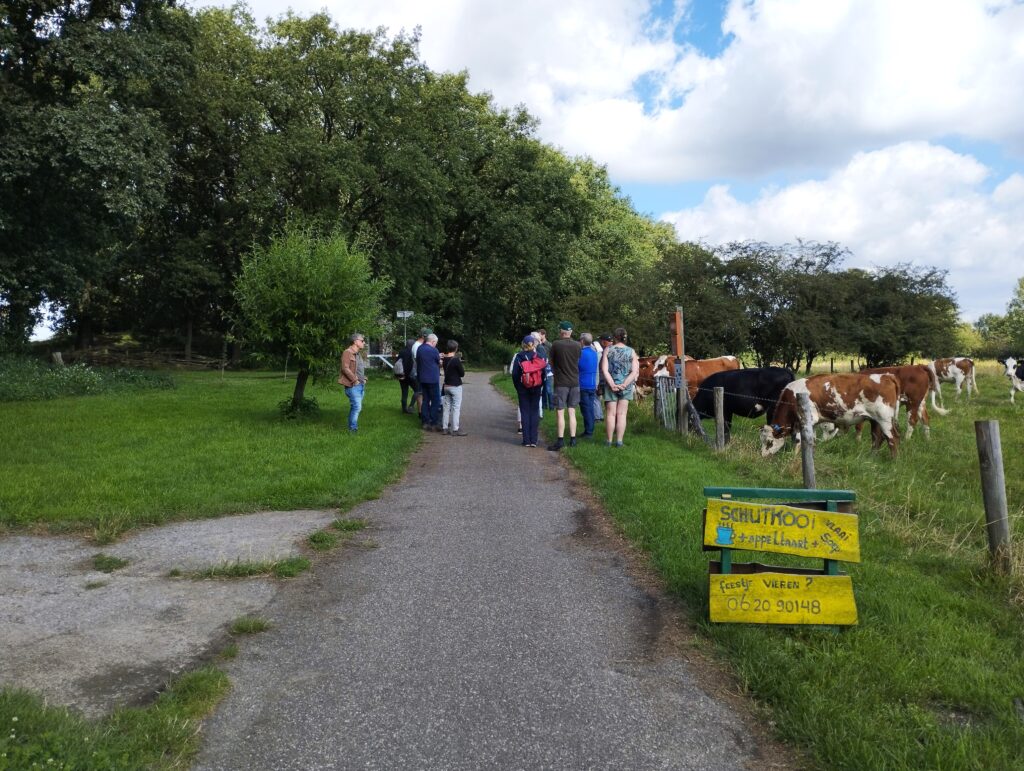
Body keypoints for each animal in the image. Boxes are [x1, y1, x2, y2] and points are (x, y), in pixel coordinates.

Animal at [760, 373, 901, 458]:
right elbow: (812, 440)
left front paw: (794, 457)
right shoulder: (812, 423)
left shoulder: (805, 420)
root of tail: (886, 376)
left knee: (892, 438)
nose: (763, 456)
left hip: (884, 419)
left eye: (769, 442)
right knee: (877, 437)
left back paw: (893, 461)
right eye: (762, 440)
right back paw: (872, 457)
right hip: (875, 420)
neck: (792, 397)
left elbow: (799, 440)